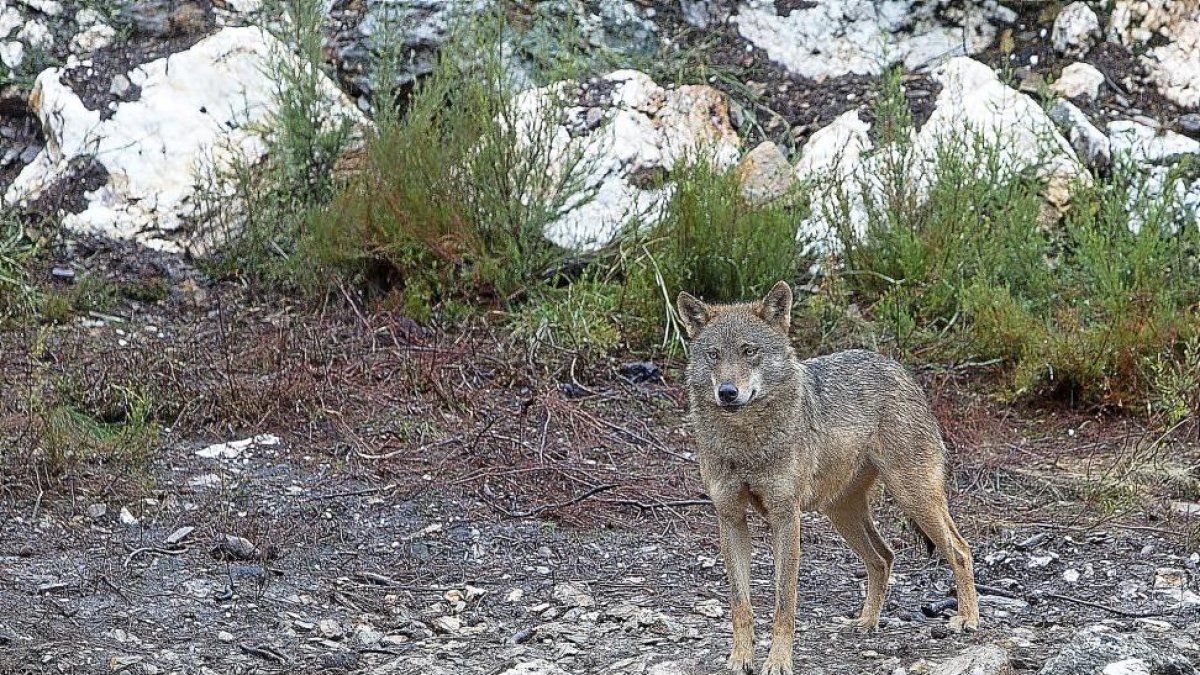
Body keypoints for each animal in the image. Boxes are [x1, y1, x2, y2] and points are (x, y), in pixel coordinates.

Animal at [677, 281, 978, 675]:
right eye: (713, 354)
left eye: (749, 351)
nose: (727, 392)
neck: (744, 442)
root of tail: (899, 368)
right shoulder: (730, 518)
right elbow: (740, 602)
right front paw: (740, 659)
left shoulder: (785, 518)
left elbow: (784, 602)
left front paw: (778, 661)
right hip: (842, 513)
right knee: (884, 557)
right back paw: (866, 622)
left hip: (914, 497)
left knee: (960, 549)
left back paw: (967, 619)